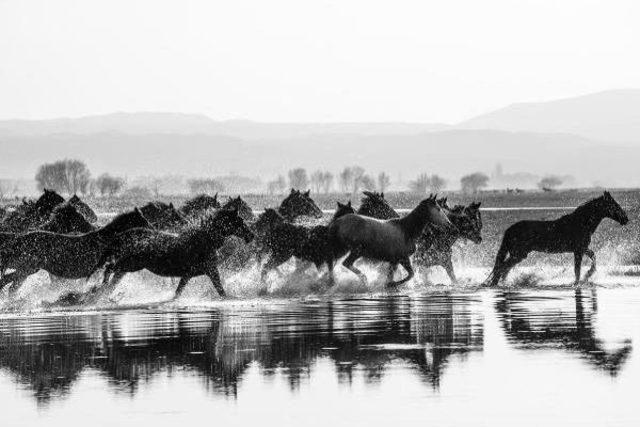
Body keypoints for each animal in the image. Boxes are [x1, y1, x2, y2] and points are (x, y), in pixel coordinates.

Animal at [0, 208, 152, 294]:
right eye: (143, 220)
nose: (153, 230)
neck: (107, 240)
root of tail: (19, 238)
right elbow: (108, 285)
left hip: (26, 270)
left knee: (8, 284)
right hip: (26, 269)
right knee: (8, 285)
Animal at [95, 209, 255, 300]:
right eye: (239, 221)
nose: (251, 235)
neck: (206, 241)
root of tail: (123, 235)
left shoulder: (193, 273)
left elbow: (179, 291)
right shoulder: (207, 271)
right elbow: (220, 290)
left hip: (128, 266)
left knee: (113, 275)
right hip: (132, 265)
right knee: (109, 268)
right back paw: (99, 288)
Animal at [328, 196, 458, 288]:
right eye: (438, 209)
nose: (449, 225)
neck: (407, 230)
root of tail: (337, 222)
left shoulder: (394, 261)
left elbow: (392, 276)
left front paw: (388, 284)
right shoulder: (403, 258)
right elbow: (411, 274)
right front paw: (391, 284)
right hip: (356, 251)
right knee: (346, 263)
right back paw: (364, 279)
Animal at [488, 193, 628, 288]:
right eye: (614, 205)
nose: (626, 219)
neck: (581, 223)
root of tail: (510, 230)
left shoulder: (582, 249)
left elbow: (593, 256)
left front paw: (588, 275)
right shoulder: (578, 250)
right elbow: (577, 269)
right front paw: (577, 283)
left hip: (518, 255)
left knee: (503, 269)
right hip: (519, 254)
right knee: (501, 268)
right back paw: (495, 284)